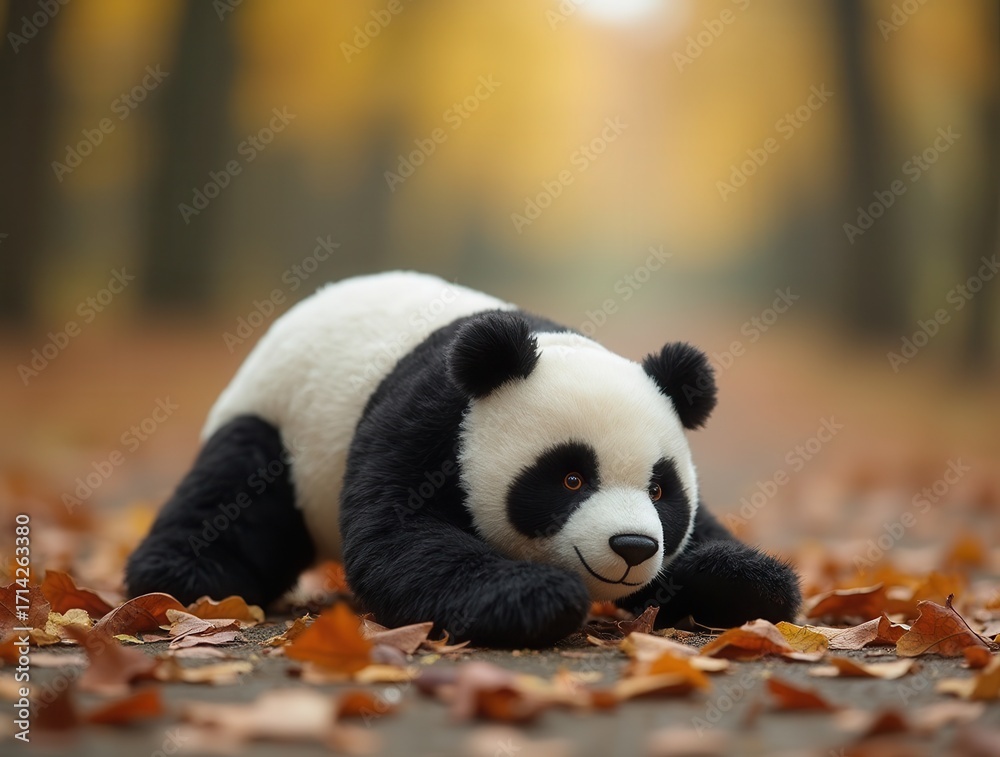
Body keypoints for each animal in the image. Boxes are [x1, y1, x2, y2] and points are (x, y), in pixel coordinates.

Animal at [126, 271, 800, 648]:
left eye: (661, 491)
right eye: (571, 478)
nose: (634, 547)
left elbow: (706, 544)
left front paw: (748, 584)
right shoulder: (430, 422)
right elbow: (402, 540)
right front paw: (537, 598)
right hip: (279, 424)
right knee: (234, 494)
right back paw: (185, 580)